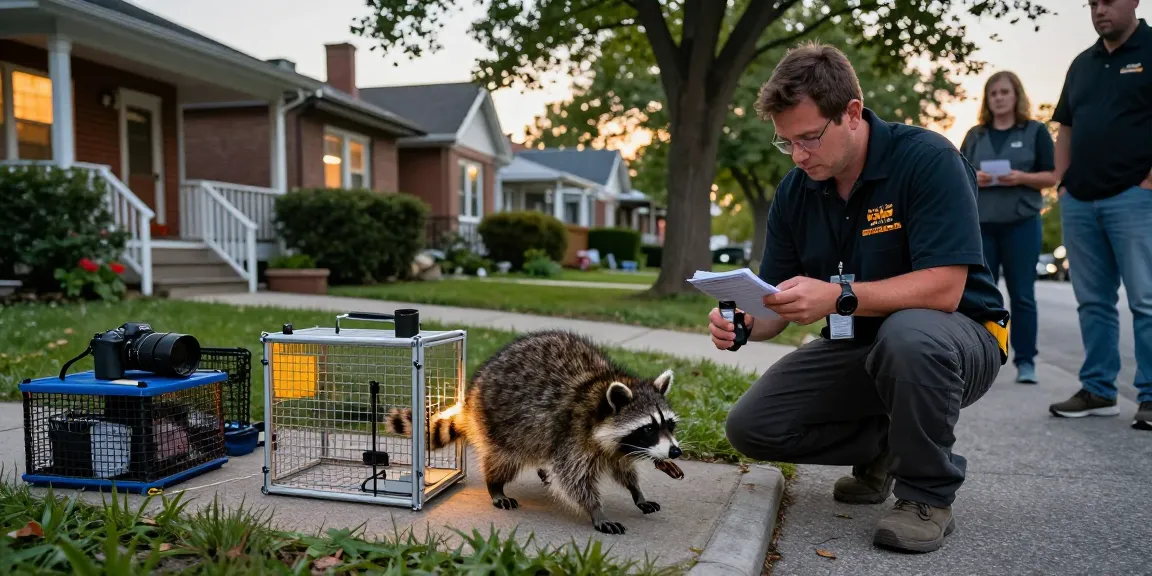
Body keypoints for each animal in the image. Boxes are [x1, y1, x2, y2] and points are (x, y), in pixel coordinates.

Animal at [386, 329, 683, 534]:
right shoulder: (573, 434)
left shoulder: (616, 447)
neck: (599, 389)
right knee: (503, 458)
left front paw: (637, 491)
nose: (675, 452)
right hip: (500, 424)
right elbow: (574, 480)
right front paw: (596, 510)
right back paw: (495, 485)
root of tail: (469, 399)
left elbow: (623, 469)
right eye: (648, 428)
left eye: (669, 425)